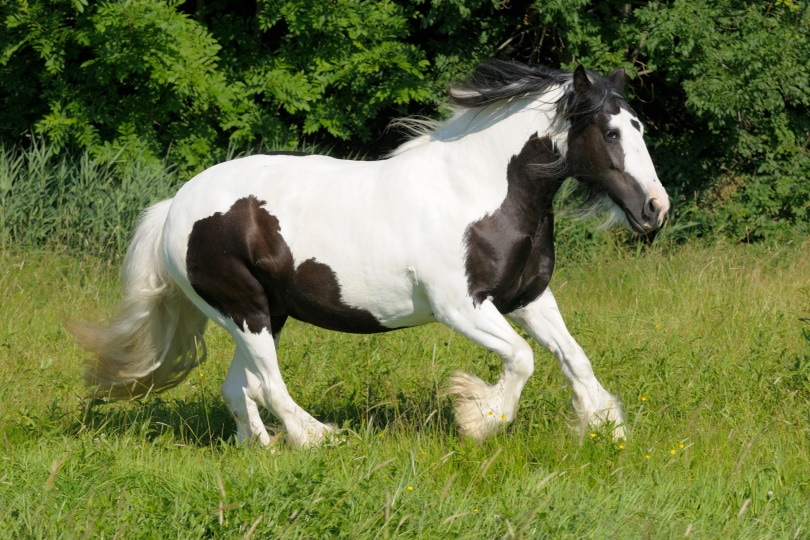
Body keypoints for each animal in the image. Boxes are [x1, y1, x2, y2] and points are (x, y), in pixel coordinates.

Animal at [71, 60, 668, 448]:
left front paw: (605, 426)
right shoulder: (461, 307)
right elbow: (522, 359)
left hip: (264, 313)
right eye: (610, 131)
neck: (479, 191)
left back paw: (261, 449)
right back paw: (317, 438)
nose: (656, 209)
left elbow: (574, 358)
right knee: (269, 386)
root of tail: (176, 205)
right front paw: (479, 418)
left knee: (239, 387)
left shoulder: (528, 298)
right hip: (244, 310)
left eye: (639, 126)